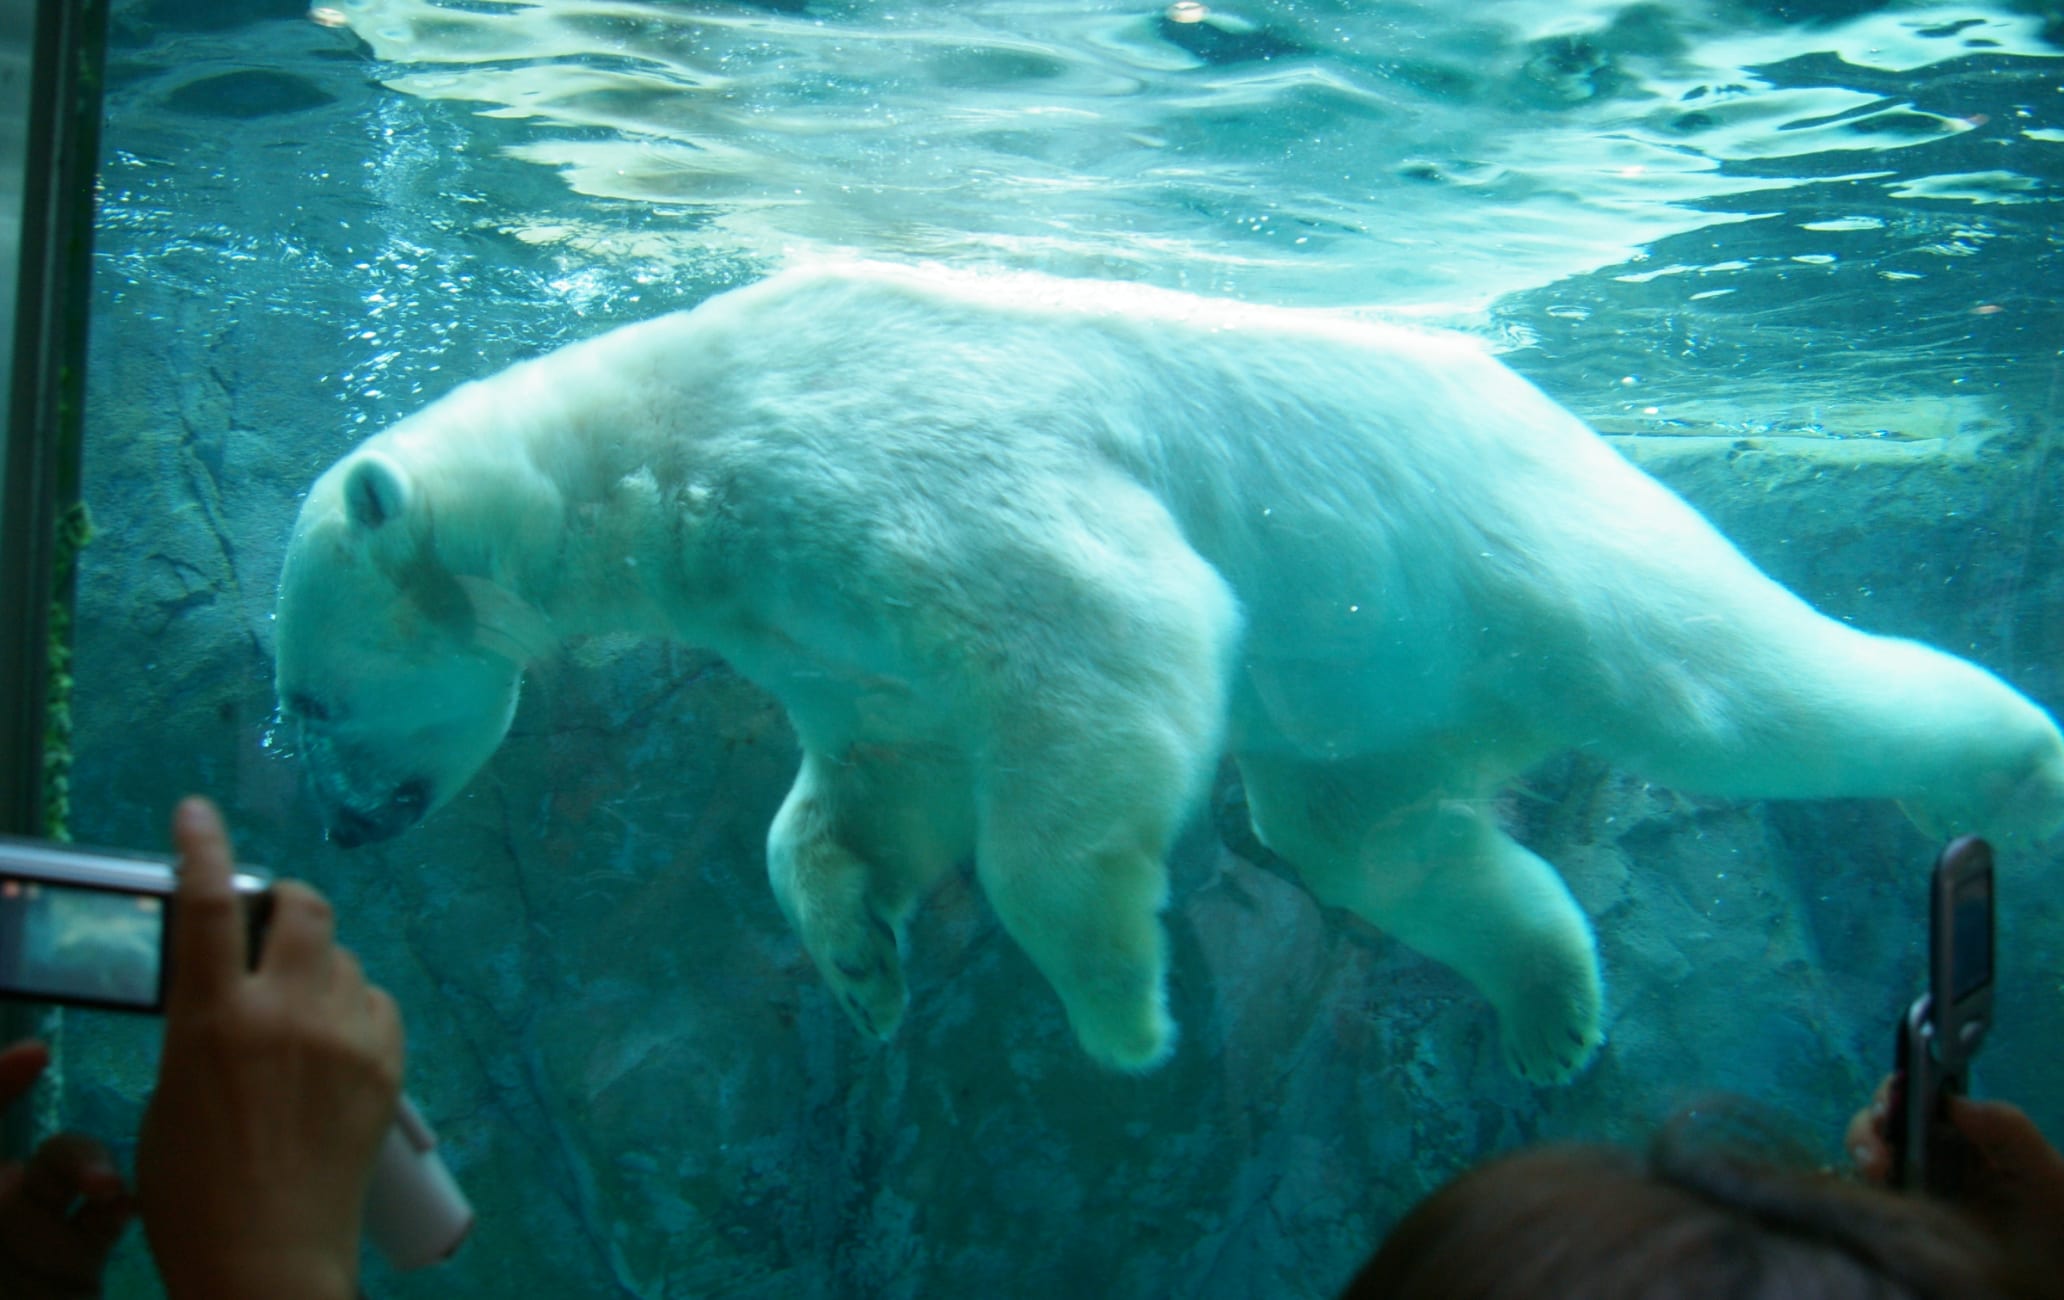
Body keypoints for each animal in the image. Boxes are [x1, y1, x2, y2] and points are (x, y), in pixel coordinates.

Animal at [274, 260, 2064, 1081]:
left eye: (306, 697)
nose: (345, 825)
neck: (659, 448)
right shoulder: (813, 623)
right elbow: (867, 786)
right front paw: (861, 964)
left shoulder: (873, 456)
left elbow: (1099, 634)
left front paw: (1121, 1010)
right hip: (1380, 673)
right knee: (1367, 828)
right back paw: (1549, 1001)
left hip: (1510, 554)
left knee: (1719, 681)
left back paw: (2012, 765)